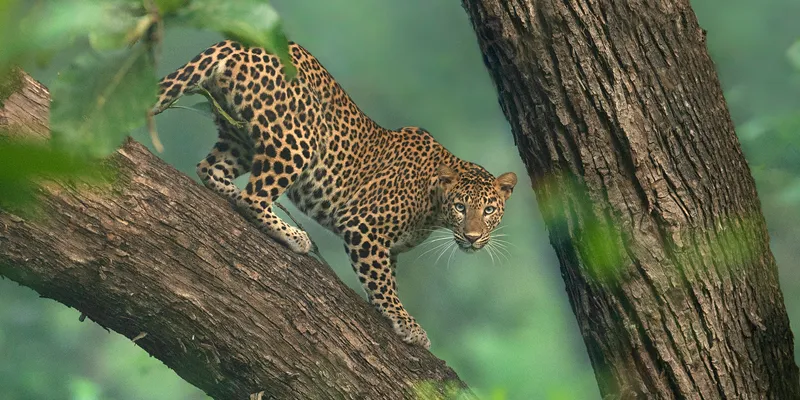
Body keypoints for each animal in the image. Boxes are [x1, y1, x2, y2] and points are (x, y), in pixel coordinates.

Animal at [152, 40, 517, 349]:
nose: (472, 237)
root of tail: (237, 43)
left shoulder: (387, 248)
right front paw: (407, 324)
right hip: (295, 141)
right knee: (252, 198)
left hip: (239, 136)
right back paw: (294, 235)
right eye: (461, 206)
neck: (433, 203)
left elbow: (384, 279)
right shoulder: (363, 227)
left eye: (489, 210)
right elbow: (384, 285)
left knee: (209, 169)